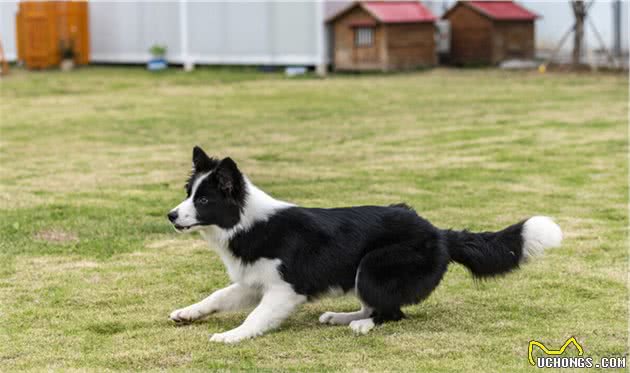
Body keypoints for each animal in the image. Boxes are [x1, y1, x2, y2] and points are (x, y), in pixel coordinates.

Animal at [167, 146, 564, 342]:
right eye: (188, 193)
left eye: (204, 200)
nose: (171, 215)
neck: (247, 221)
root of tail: (438, 232)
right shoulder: (253, 282)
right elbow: (216, 297)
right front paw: (187, 313)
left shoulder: (285, 289)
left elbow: (256, 316)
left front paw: (232, 336)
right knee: (376, 305)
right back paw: (342, 316)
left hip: (374, 265)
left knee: (391, 312)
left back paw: (361, 326)